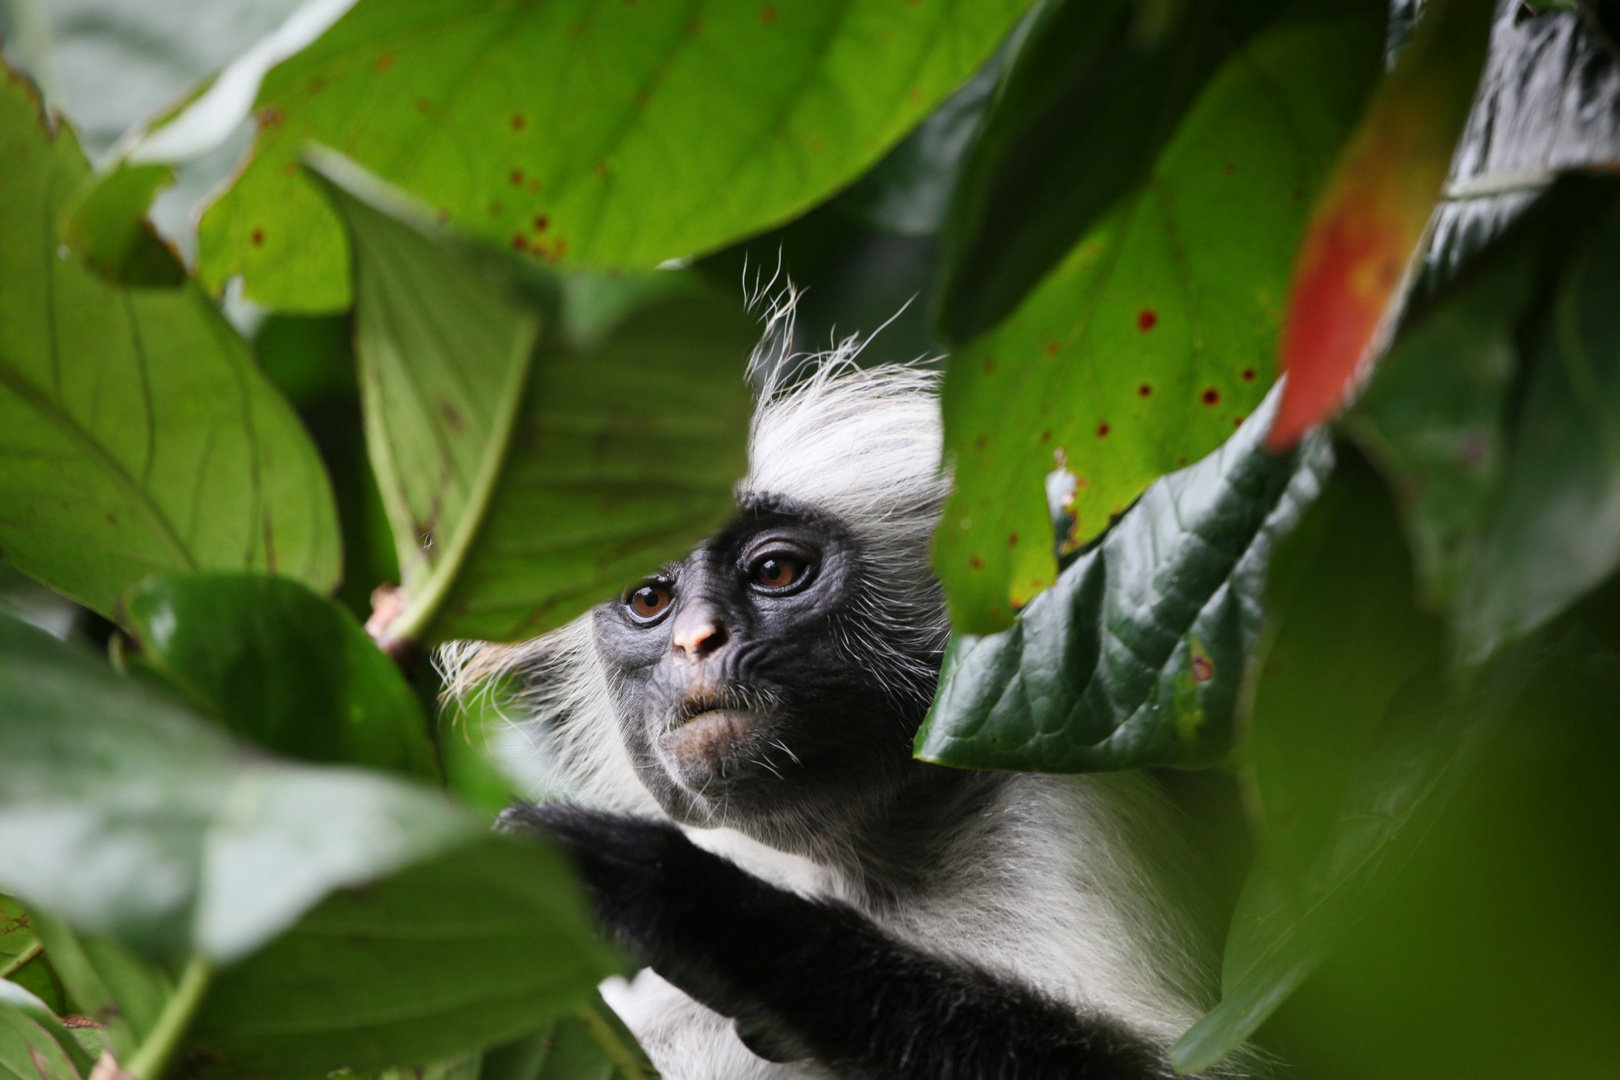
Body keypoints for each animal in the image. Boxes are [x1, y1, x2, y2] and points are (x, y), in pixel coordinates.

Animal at [443, 351, 1224, 1075]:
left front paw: (696, 907)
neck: (865, 861)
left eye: (775, 571)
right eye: (648, 599)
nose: (697, 640)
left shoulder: (1063, 809)